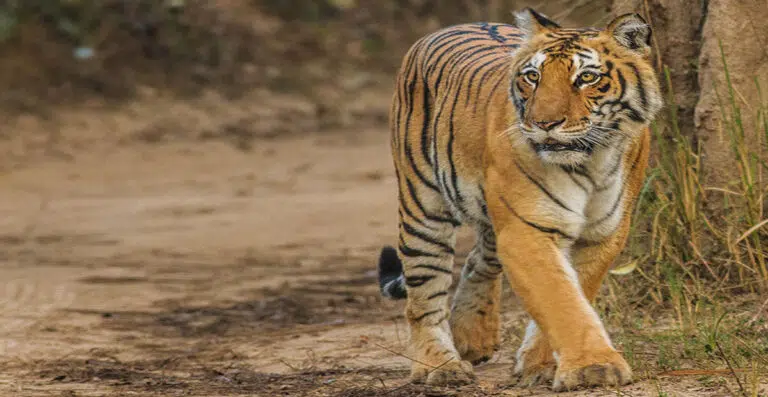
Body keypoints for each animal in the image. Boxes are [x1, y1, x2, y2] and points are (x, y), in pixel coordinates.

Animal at [376, 7, 660, 392]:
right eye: (533, 77)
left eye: (586, 77)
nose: (545, 123)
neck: (591, 162)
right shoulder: (527, 230)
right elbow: (560, 299)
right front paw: (593, 367)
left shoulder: (603, 234)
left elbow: (574, 293)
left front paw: (540, 365)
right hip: (423, 206)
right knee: (424, 295)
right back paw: (440, 366)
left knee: (478, 260)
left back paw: (471, 337)